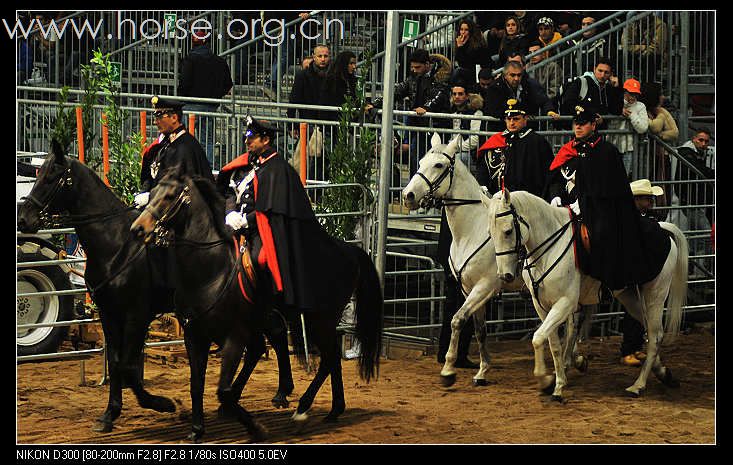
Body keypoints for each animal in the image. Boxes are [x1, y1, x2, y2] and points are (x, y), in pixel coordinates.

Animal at [131, 169, 384, 428]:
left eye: (169, 196)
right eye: (153, 192)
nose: (138, 228)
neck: (210, 267)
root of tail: (348, 250)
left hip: (319, 319)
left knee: (327, 357)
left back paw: (304, 406)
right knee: (320, 354)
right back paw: (331, 408)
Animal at [486, 188, 688, 398]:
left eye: (508, 231)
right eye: (490, 234)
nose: (505, 275)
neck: (549, 249)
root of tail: (662, 229)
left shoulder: (565, 302)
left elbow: (539, 338)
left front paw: (550, 381)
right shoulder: (541, 304)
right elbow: (553, 343)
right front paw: (556, 380)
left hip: (655, 295)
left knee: (655, 335)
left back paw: (638, 385)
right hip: (630, 297)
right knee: (649, 329)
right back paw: (662, 372)